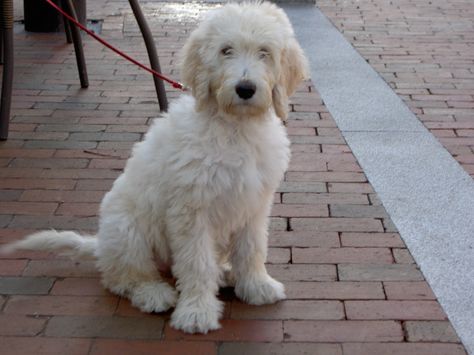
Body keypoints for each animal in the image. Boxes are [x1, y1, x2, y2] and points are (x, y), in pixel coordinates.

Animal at [3, 0, 310, 334]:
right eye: (226, 50)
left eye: (264, 52)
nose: (245, 89)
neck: (234, 129)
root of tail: (101, 245)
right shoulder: (191, 211)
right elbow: (197, 262)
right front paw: (196, 312)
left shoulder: (253, 204)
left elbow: (252, 248)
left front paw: (256, 286)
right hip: (128, 230)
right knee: (124, 278)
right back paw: (154, 294)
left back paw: (226, 272)